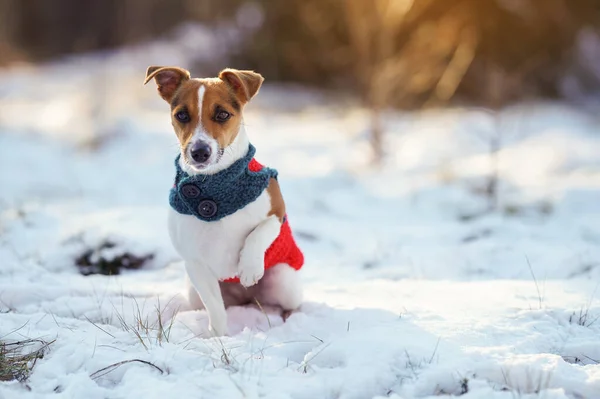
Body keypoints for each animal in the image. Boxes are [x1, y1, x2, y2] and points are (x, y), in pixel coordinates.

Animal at [145, 66, 304, 338]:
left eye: (222, 114)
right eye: (182, 115)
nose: (199, 152)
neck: (216, 184)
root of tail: (246, 299)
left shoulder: (276, 210)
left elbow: (259, 232)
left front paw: (249, 267)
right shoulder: (196, 265)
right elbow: (215, 309)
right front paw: (217, 338)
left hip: (283, 280)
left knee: (289, 304)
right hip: (194, 290)